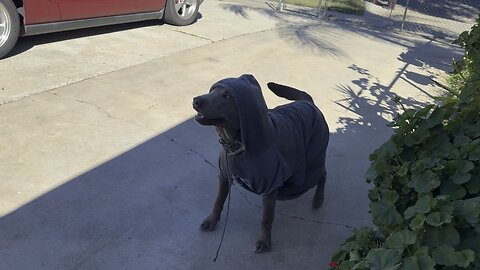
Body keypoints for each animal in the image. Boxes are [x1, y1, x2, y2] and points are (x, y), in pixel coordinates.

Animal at [193, 74, 328, 253]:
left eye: (227, 96)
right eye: (212, 91)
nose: (196, 100)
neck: (235, 144)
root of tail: (308, 102)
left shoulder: (269, 186)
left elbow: (266, 218)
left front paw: (264, 242)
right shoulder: (223, 175)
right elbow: (218, 201)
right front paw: (211, 221)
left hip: (311, 164)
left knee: (322, 175)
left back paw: (318, 200)